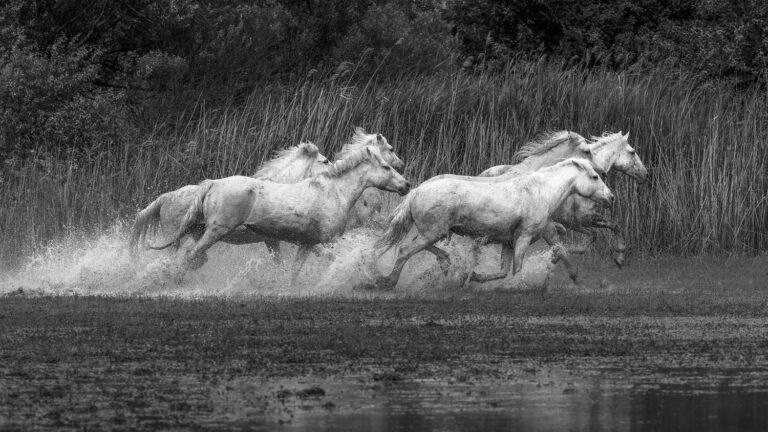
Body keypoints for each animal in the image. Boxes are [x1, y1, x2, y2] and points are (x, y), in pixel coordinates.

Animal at [151, 145, 411, 282]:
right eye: (386, 166)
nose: (406, 185)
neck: (332, 192)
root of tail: (212, 184)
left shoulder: (304, 243)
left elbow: (293, 271)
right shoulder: (321, 241)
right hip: (214, 232)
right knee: (189, 255)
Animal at [373, 158, 614, 290]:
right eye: (595, 177)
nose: (611, 198)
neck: (541, 193)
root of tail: (415, 191)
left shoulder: (510, 242)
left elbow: (504, 270)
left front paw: (475, 277)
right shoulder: (524, 238)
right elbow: (517, 269)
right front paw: (517, 286)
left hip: (433, 232)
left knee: (419, 248)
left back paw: (447, 265)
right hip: (432, 232)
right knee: (405, 250)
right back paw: (388, 282)